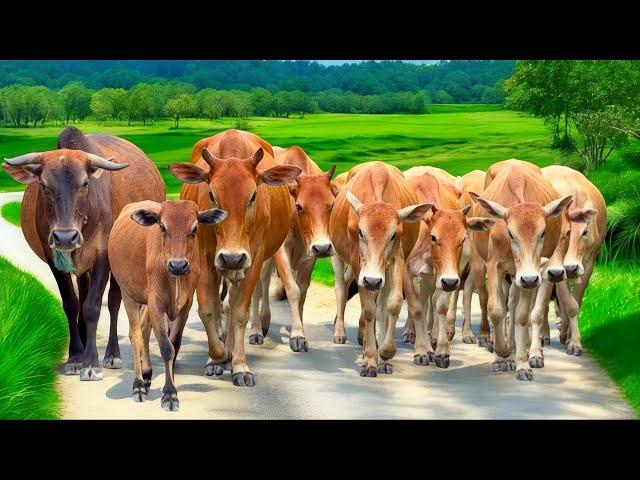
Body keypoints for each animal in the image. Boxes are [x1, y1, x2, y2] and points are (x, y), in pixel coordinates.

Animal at [109, 199, 228, 408]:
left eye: (195, 228)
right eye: (162, 227)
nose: (178, 265)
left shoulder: (184, 307)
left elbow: (175, 345)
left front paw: (170, 389)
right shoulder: (156, 305)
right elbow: (166, 347)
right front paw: (169, 394)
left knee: (144, 330)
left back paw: (147, 375)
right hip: (128, 294)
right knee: (135, 334)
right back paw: (139, 385)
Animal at [169, 128, 302, 386]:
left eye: (253, 196)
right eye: (211, 195)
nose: (231, 258)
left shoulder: (254, 258)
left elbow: (240, 311)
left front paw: (239, 365)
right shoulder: (205, 258)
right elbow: (208, 309)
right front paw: (217, 358)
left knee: (233, 303)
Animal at [330, 161, 430, 376]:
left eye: (392, 235)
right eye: (360, 232)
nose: (372, 280)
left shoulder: (398, 258)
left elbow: (393, 303)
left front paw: (385, 352)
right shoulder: (358, 263)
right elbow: (368, 309)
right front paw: (369, 359)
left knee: (382, 302)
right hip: (338, 255)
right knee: (341, 287)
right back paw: (340, 332)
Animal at [402, 171, 492, 366]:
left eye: (463, 238)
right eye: (434, 237)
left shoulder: (445, 275)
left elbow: (440, 305)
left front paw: (440, 350)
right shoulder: (406, 271)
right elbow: (416, 309)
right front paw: (421, 351)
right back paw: (411, 333)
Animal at [468, 159, 572, 380]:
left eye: (542, 232)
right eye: (510, 233)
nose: (529, 279)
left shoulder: (531, 274)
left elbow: (523, 315)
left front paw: (522, 362)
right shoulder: (495, 265)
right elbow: (496, 309)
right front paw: (501, 355)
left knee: (517, 307)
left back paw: (521, 349)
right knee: (505, 304)